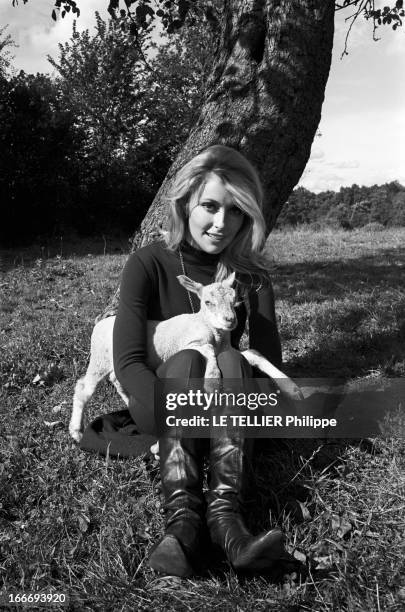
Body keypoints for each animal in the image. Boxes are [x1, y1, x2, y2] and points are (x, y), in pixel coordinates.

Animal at [70, 274, 304, 442]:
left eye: (235, 300)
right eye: (208, 301)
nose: (230, 320)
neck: (213, 331)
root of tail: (100, 323)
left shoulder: (228, 349)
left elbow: (253, 354)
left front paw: (292, 389)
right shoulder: (189, 342)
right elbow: (206, 350)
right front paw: (212, 382)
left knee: (117, 379)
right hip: (99, 358)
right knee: (84, 387)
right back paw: (76, 431)